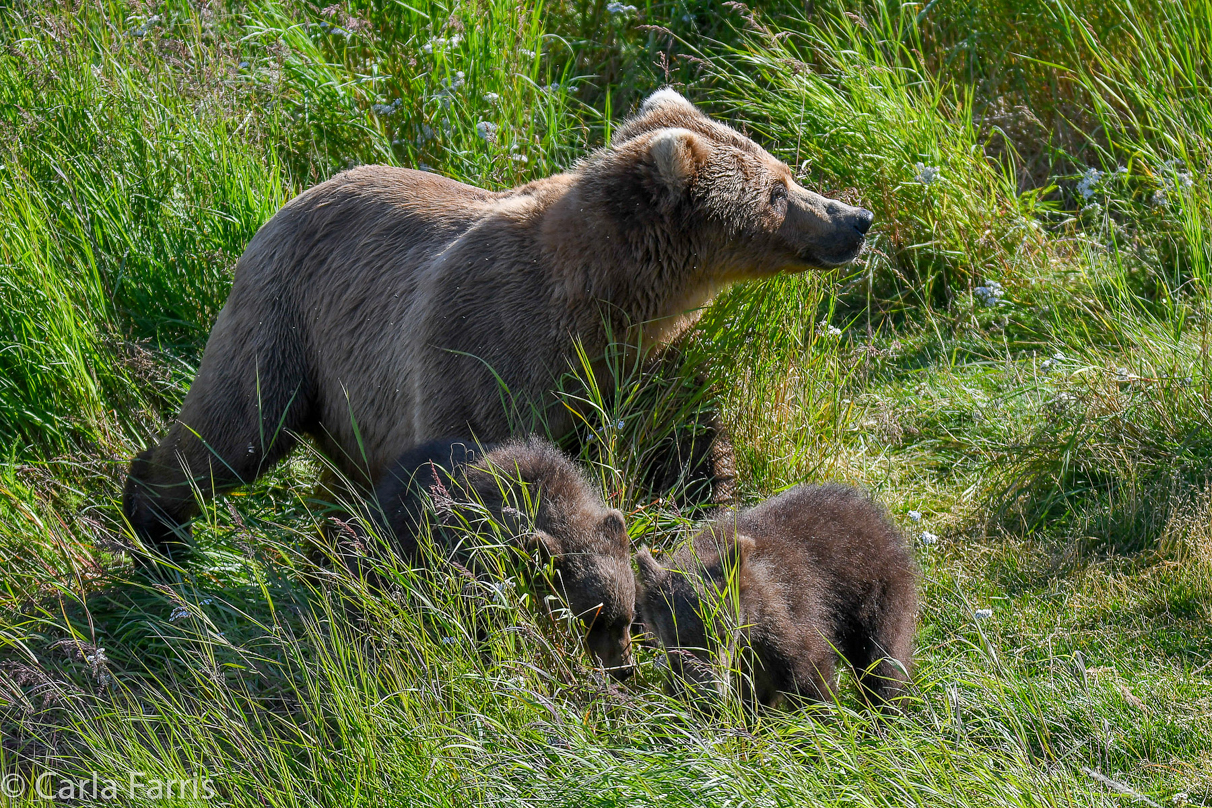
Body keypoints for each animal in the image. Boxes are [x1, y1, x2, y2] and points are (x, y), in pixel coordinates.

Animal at [125, 87, 872, 557]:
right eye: (777, 190)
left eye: (783, 171)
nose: (856, 218)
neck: (605, 297)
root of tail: (294, 197)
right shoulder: (485, 342)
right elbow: (479, 471)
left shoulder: (650, 360)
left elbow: (684, 447)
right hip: (287, 317)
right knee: (233, 427)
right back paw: (155, 529)